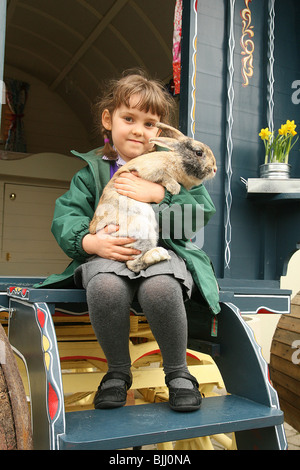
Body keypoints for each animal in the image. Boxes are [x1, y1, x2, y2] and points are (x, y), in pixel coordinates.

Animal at [88, 123, 217, 274]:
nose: (214, 169)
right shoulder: (152, 171)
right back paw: (159, 254)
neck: (176, 161)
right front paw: (175, 188)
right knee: (132, 263)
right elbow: (164, 177)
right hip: (141, 229)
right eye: (199, 152)